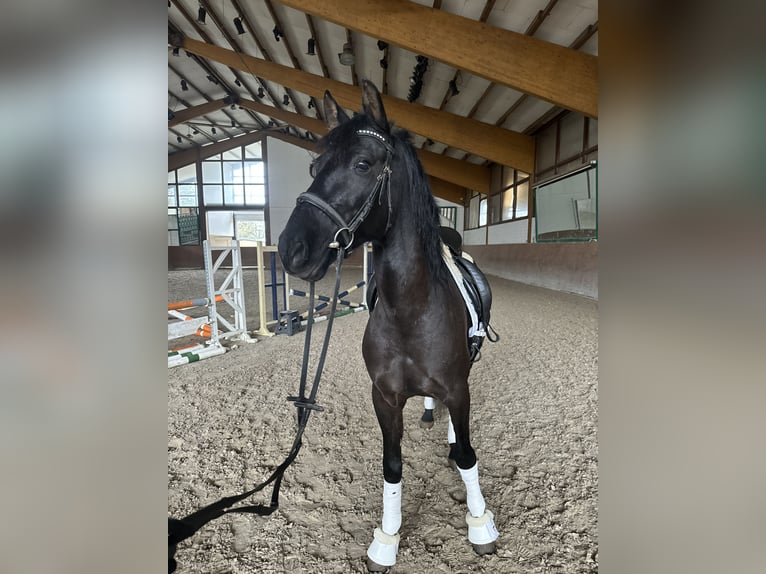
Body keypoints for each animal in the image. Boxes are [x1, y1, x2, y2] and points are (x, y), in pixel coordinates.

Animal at [280, 80, 500, 572]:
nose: (290, 249)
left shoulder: (458, 387)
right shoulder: (384, 397)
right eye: (313, 167)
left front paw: (480, 525)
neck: (410, 311)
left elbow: (468, 456)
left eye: (363, 164)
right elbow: (392, 464)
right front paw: (388, 536)